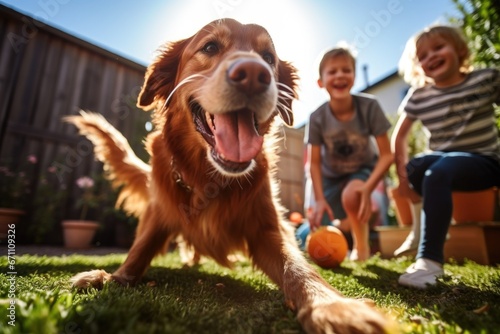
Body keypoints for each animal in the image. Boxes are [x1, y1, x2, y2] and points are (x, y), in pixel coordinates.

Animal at [66, 18, 392, 334]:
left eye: (268, 58)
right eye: (210, 47)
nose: (254, 74)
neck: (209, 179)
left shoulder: (267, 228)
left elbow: (297, 267)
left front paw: (332, 307)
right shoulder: (160, 213)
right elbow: (140, 248)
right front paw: (111, 277)